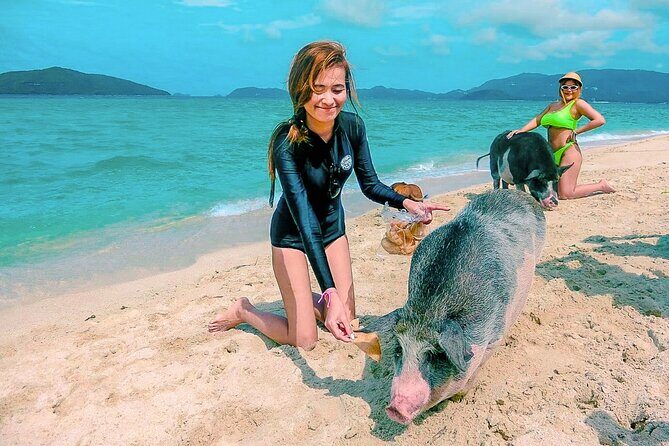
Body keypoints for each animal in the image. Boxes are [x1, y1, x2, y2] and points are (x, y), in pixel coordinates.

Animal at [356, 189, 546, 425]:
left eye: (437, 355)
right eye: (399, 350)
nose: (394, 409)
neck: (429, 309)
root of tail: (518, 194)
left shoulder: (494, 338)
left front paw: (459, 398)